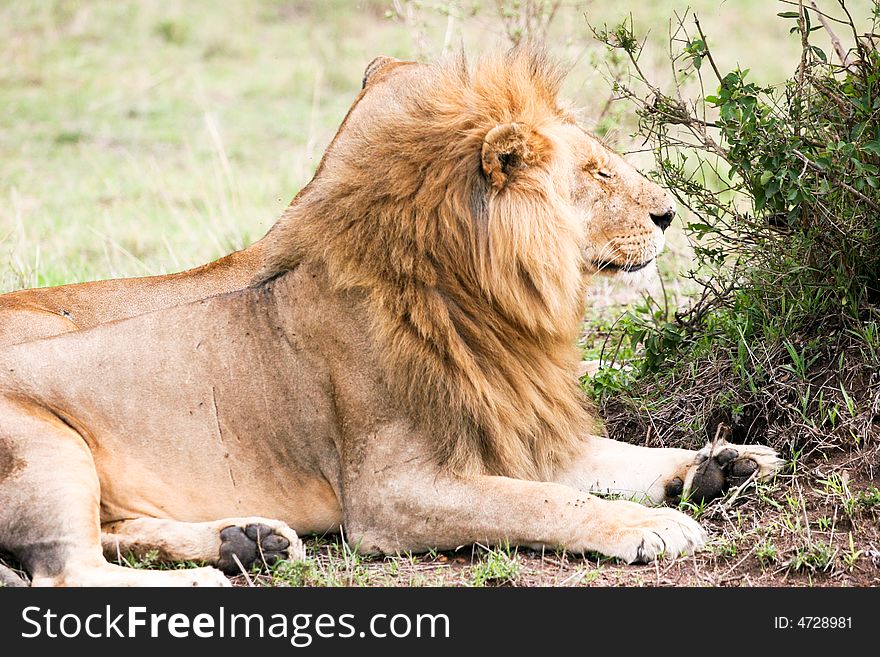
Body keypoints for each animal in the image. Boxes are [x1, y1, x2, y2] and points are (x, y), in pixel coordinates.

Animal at [0, 50, 780, 584]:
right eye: (598, 172)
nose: (669, 214)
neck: (486, 305)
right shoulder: (390, 493)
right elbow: (546, 503)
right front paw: (653, 524)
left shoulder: (512, 427)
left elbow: (618, 455)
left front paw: (726, 462)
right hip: (47, 447)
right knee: (65, 571)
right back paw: (208, 577)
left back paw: (245, 541)